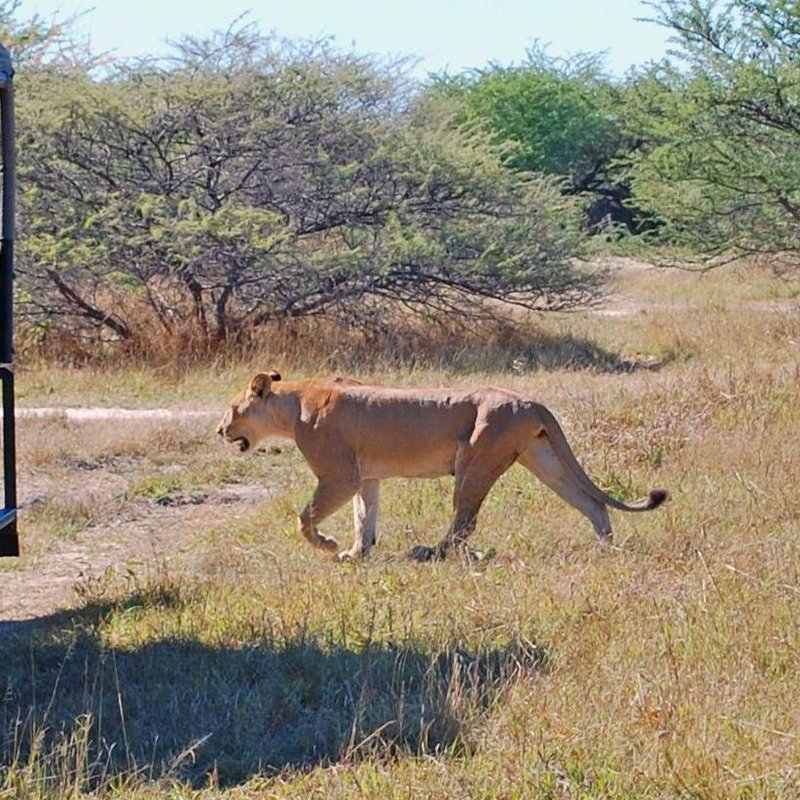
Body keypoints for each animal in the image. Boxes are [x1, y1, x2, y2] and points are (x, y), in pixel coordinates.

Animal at [217, 371, 668, 561]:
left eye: (232, 408)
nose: (221, 430)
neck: (293, 402)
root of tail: (530, 401)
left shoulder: (339, 476)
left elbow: (305, 518)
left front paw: (328, 546)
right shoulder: (366, 476)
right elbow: (365, 517)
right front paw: (356, 553)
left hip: (475, 461)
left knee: (464, 522)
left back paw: (429, 552)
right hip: (543, 459)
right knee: (591, 502)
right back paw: (606, 547)